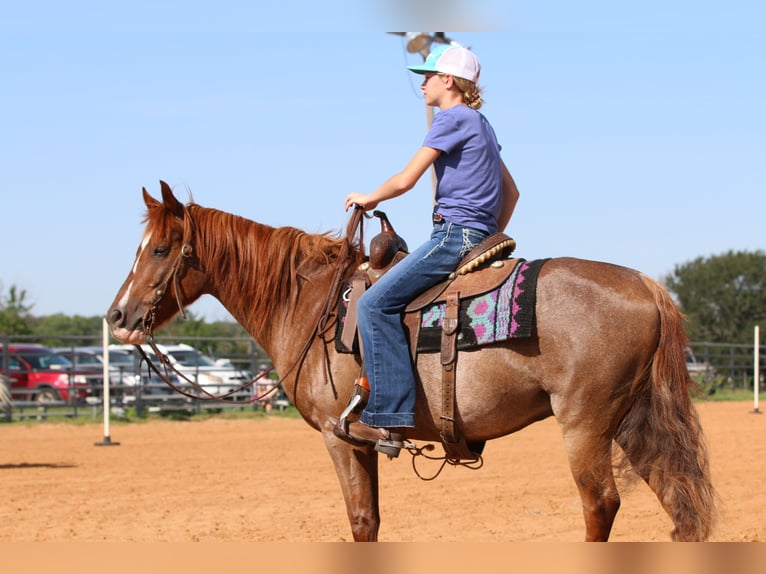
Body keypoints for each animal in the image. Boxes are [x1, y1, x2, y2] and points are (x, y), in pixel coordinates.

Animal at [107, 181, 717, 542]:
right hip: (633, 422)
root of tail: (645, 285)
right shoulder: (364, 440)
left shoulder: (338, 436)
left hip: (586, 424)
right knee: (677, 500)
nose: (117, 316)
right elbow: (372, 522)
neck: (309, 304)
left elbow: (359, 522)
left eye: (159, 249)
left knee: (600, 505)